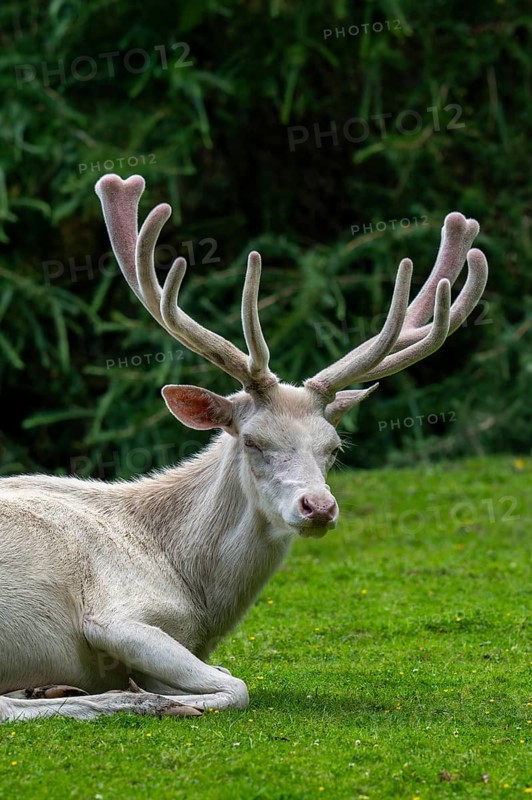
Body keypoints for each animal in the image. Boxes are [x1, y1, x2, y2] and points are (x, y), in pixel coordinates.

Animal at [0, 175, 488, 723]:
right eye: (253, 440)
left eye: (334, 448)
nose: (319, 507)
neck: (194, 594)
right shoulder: (113, 612)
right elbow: (237, 685)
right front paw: (165, 700)